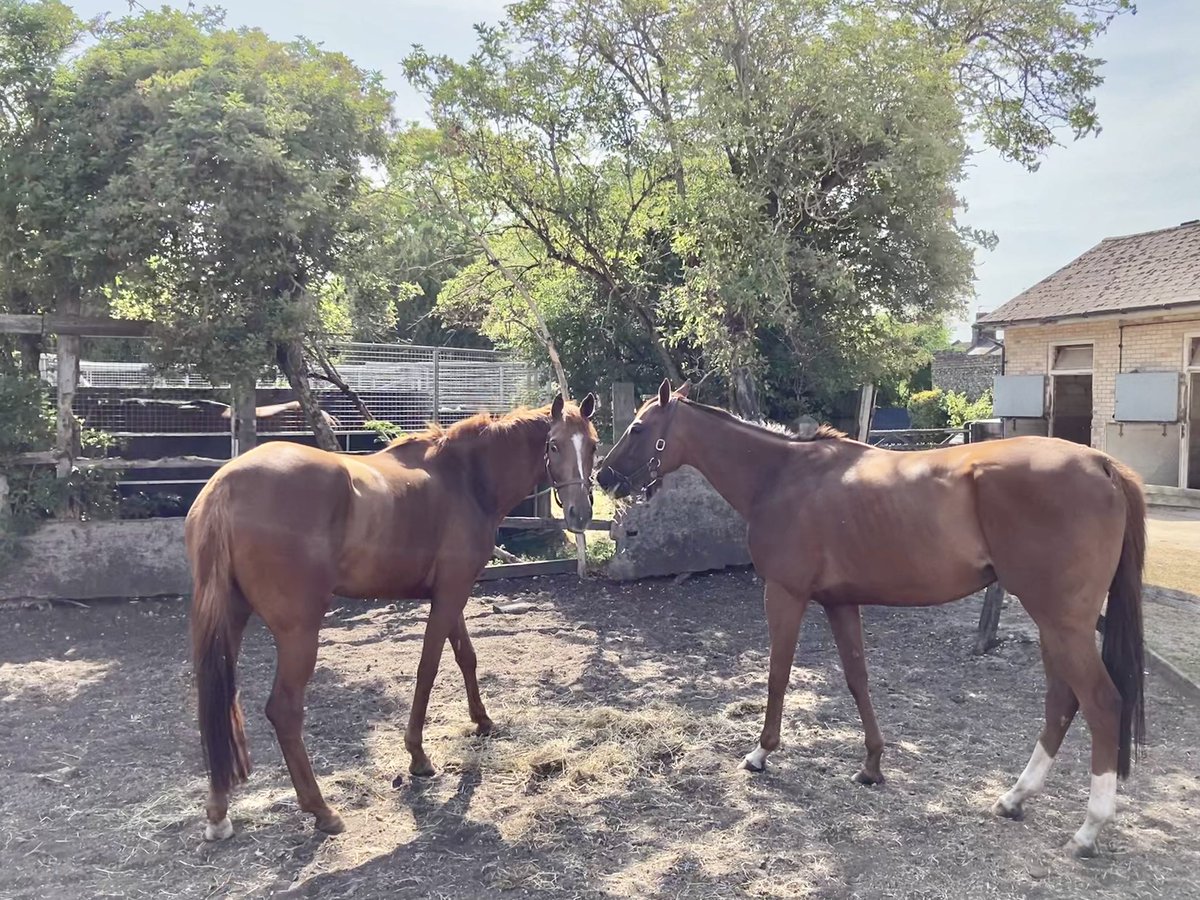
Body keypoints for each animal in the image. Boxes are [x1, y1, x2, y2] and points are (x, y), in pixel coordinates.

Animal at [186, 393, 598, 841]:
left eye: (593, 446)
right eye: (553, 445)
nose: (580, 514)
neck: (464, 479)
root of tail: (225, 486)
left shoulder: (450, 594)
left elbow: (466, 657)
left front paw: (482, 721)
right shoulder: (451, 593)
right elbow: (429, 668)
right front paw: (418, 755)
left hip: (231, 619)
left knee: (218, 701)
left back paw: (218, 812)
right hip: (299, 633)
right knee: (284, 711)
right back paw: (321, 810)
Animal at [596, 379, 1146, 858]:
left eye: (639, 428)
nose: (603, 476)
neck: (782, 476)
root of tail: (1102, 464)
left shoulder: (785, 594)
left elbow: (778, 674)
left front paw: (761, 753)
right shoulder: (840, 603)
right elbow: (858, 678)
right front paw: (872, 765)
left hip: (1060, 621)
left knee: (1100, 703)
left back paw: (1087, 831)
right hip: (1054, 623)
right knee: (1061, 702)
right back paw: (1015, 797)